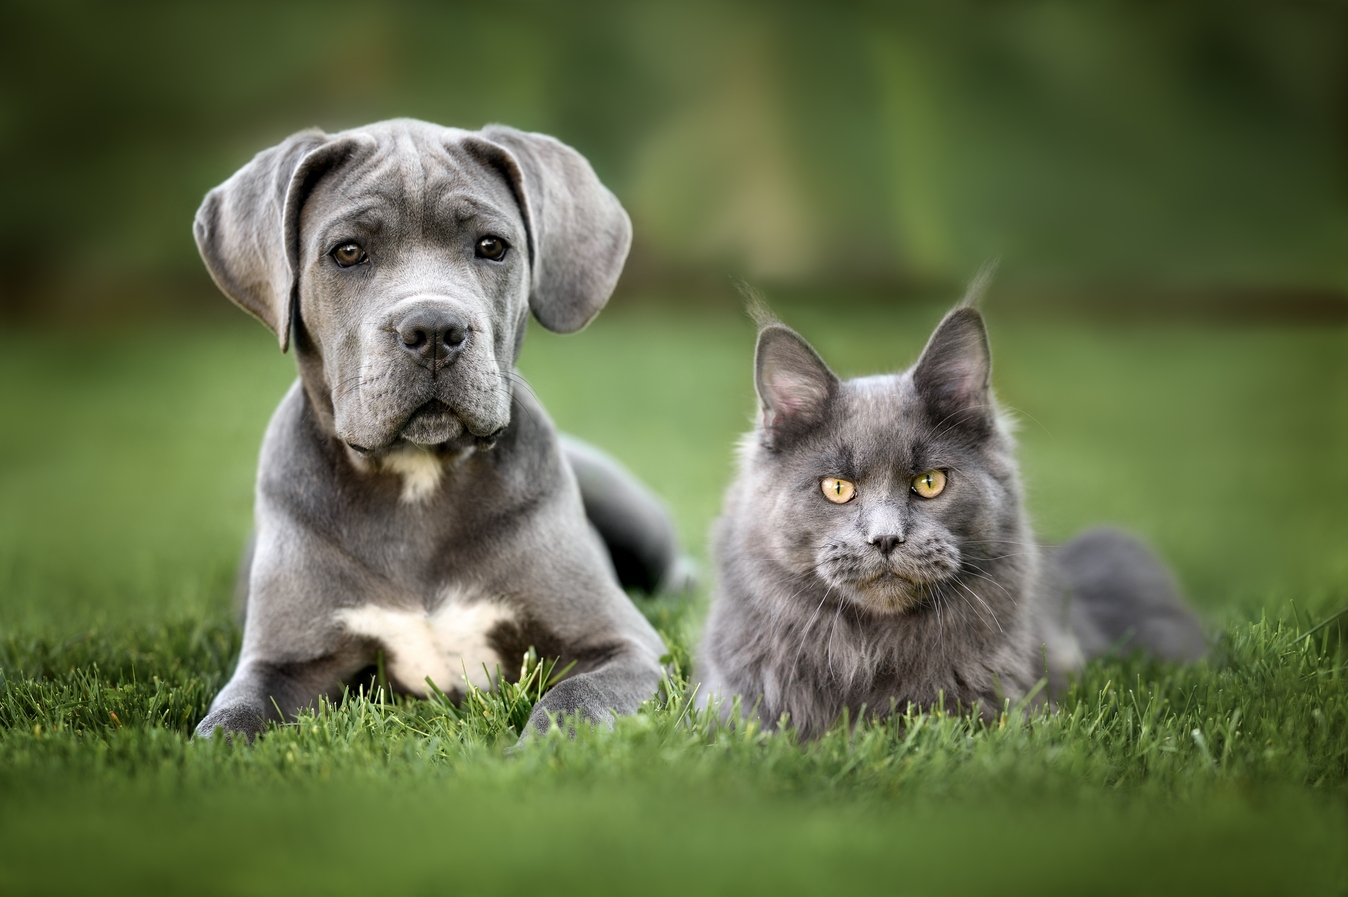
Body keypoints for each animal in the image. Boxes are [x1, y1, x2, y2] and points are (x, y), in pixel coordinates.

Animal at [191, 117, 690, 739]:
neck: (417, 477)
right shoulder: (278, 665)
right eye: (347, 252)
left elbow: (575, 703)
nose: (433, 328)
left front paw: (543, 750)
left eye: (492, 246)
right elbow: (228, 723)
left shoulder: (624, 646)